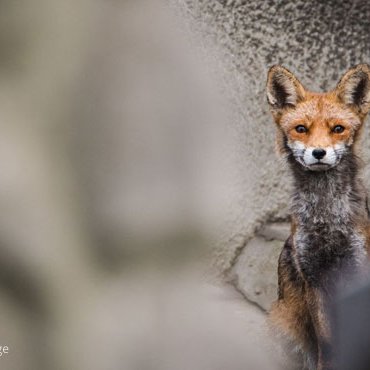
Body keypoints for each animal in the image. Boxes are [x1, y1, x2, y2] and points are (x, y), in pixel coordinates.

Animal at [266, 64, 370, 370]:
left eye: (338, 129)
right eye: (301, 129)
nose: (319, 153)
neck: (327, 222)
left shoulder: (359, 270)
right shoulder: (313, 279)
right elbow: (329, 345)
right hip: (282, 323)